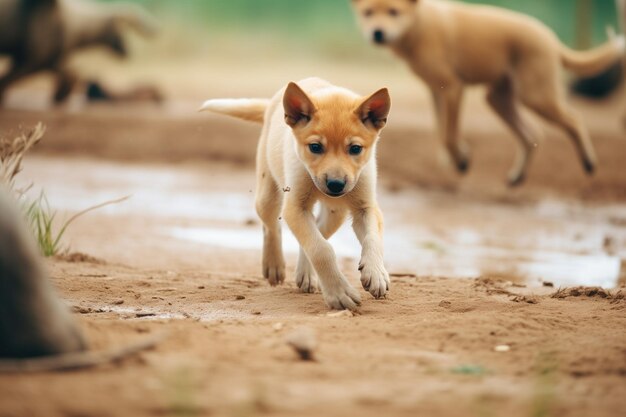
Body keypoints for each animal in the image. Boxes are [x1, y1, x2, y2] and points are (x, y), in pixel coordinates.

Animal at [200, 79, 390, 308]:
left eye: (355, 149)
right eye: (315, 147)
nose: (335, 185)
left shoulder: (366, 207)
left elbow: (372, 238)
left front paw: (376, 273)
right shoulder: (294, 207)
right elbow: (321, 250)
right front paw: (339, 293)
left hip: (335, 213)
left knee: (315, 232)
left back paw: (306, 274)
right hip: (267, 195)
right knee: (272, 227)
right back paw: (274, 265)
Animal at [352, 0, 624, 185]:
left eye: (393, 12)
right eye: (368, 13)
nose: (377, 33)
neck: (419, 23)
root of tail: (550, 37)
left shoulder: (453, 88)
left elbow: (449, 134)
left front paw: (461, 161)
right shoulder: (437, 92)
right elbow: (443, 131)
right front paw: (456, 157)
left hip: (535, 95)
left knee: (573, 120)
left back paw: (589, 163)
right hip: (499, 99)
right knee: (532, 135)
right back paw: (517, 176)